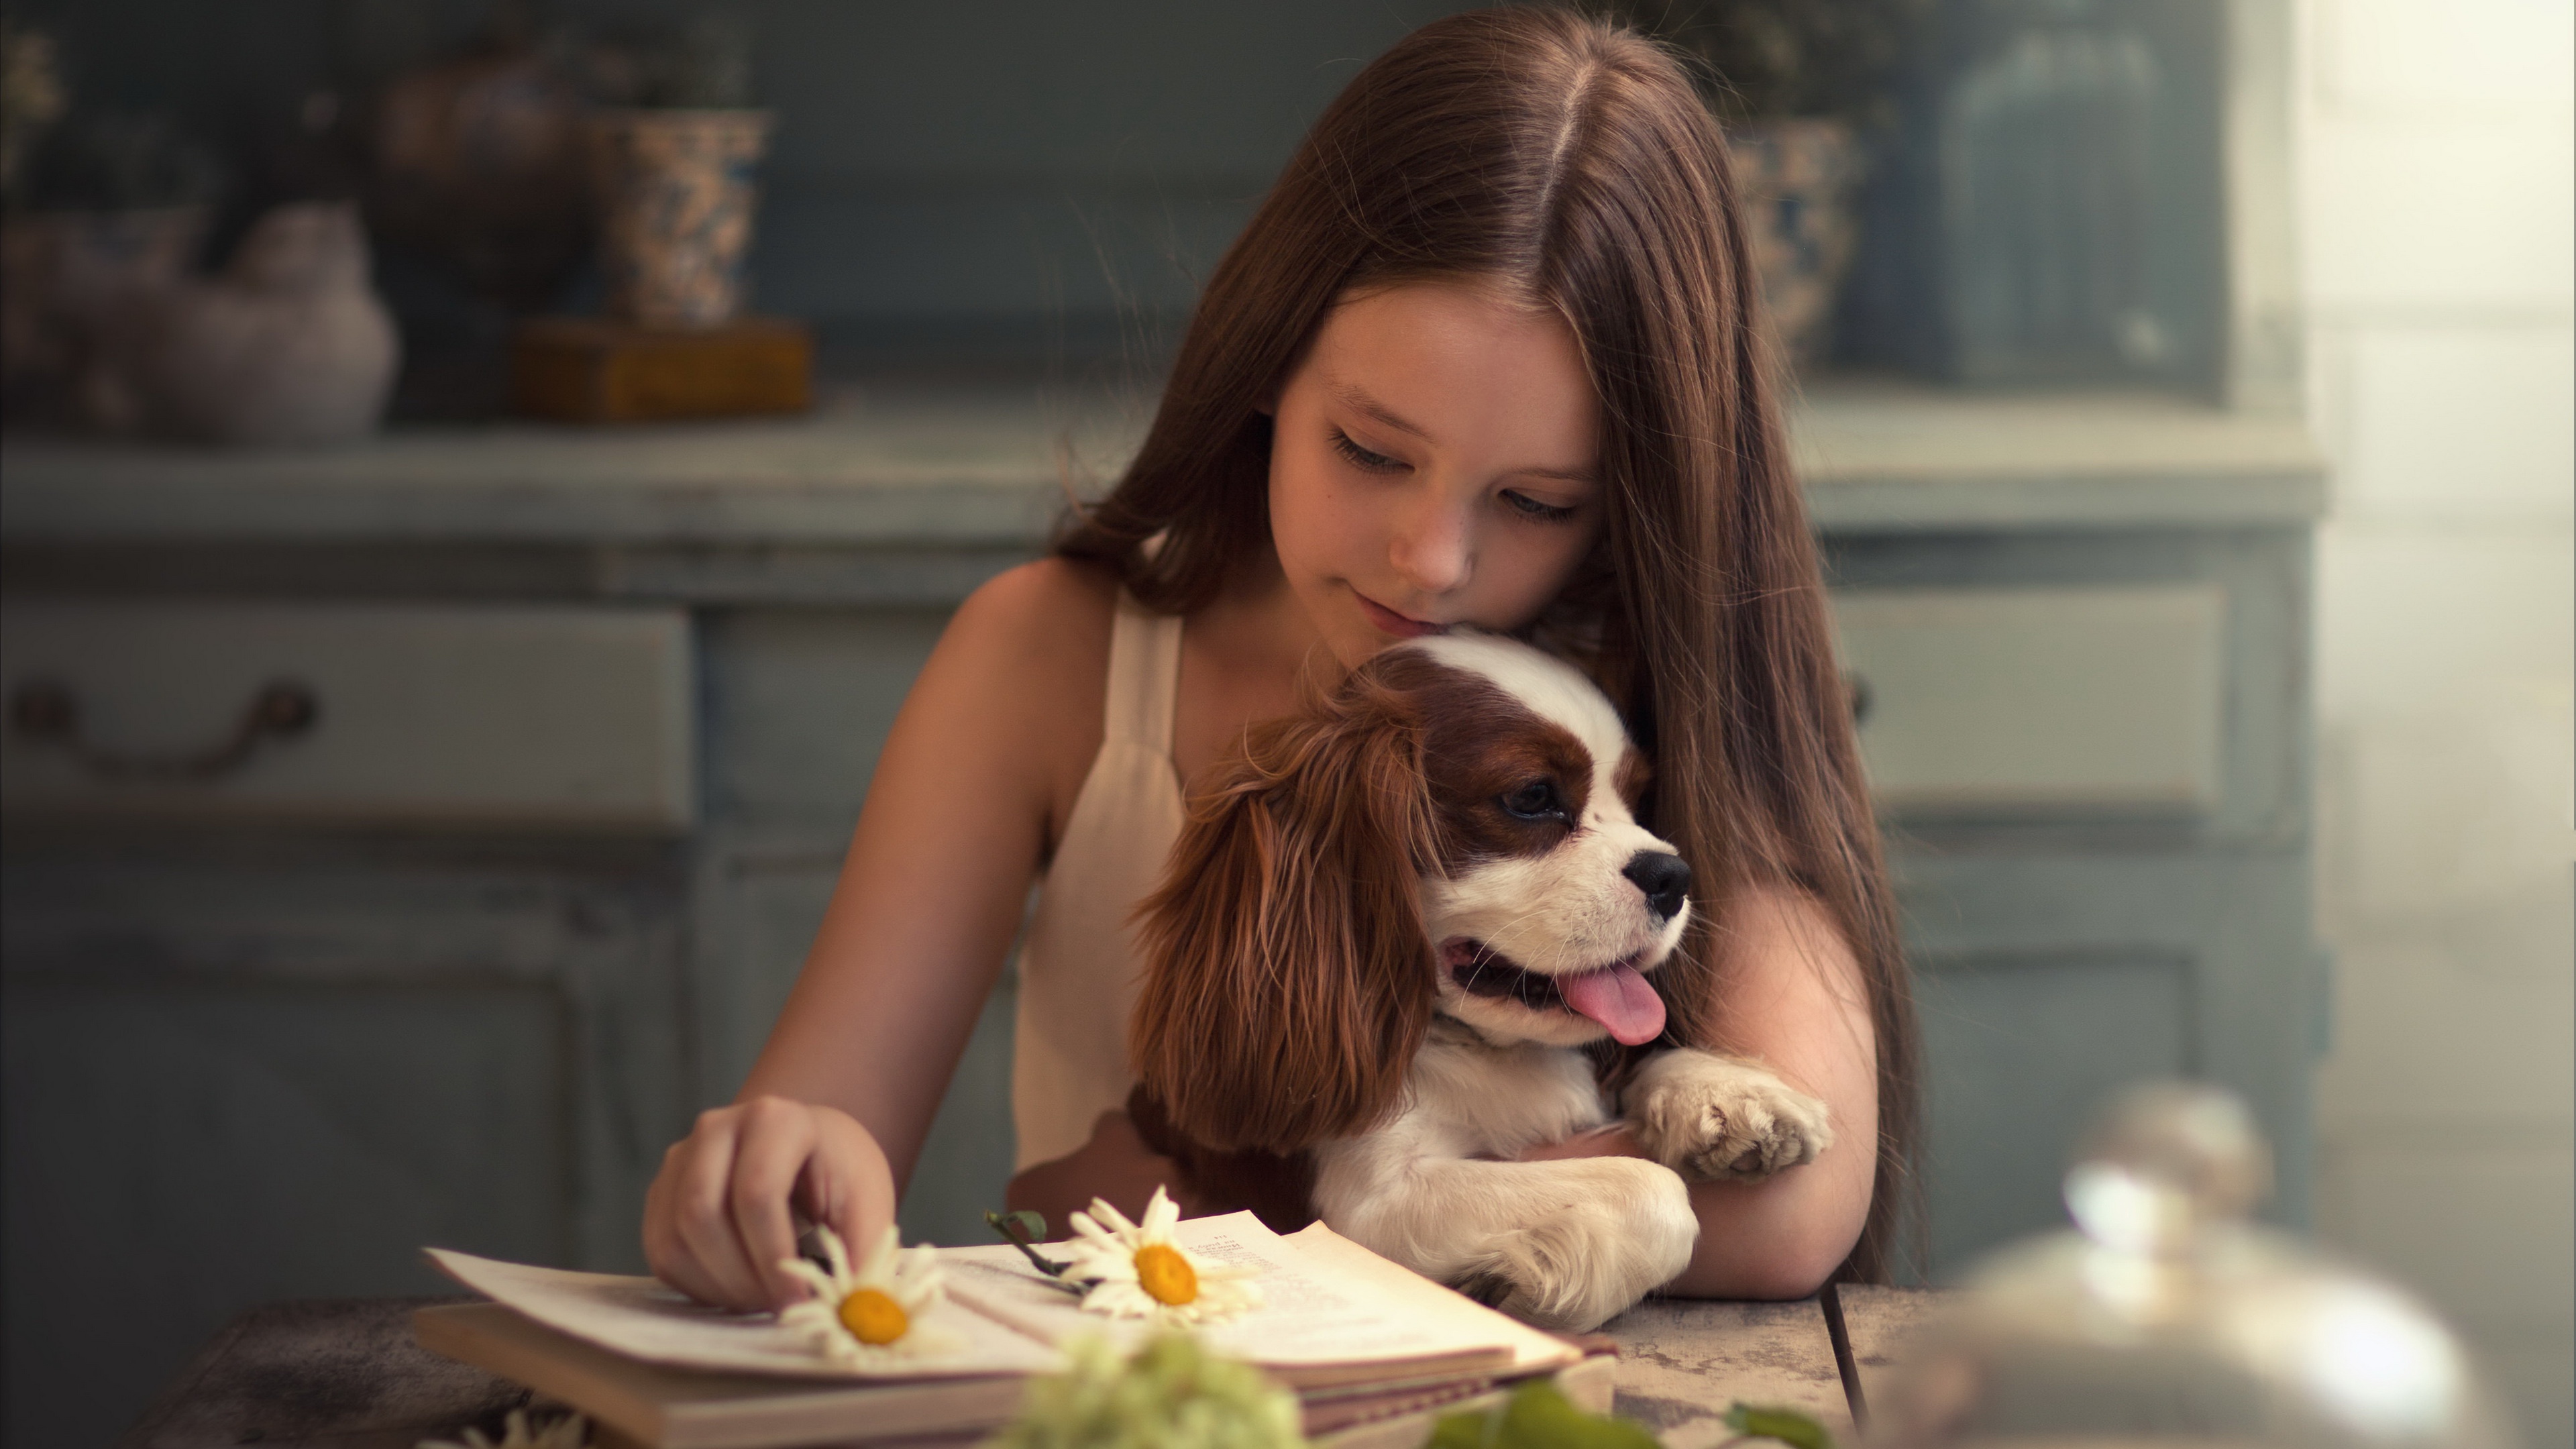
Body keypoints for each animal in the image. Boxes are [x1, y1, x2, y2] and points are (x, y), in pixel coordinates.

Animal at [1128, 626, 1834, 1330]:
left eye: (1636, 798)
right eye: (1533, 797)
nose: (1673, 876)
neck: (1478, 1044)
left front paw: (1729, 1092)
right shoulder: (1372, 1203)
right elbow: (1654, 1191)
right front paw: (1528, 1273)